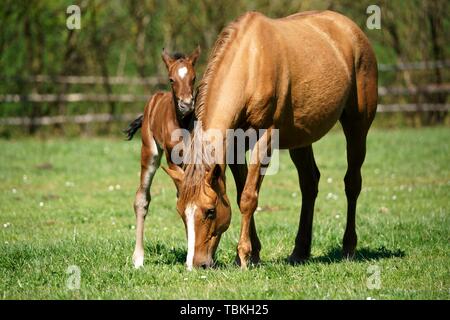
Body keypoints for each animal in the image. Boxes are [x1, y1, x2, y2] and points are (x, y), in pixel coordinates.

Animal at [124, 46, 200, 268]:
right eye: (171, 79)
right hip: (149, 153)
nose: (186, 105)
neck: (181, 125)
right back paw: (138, 259)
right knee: (141, 198)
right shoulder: (173, 162)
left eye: (194, 77)